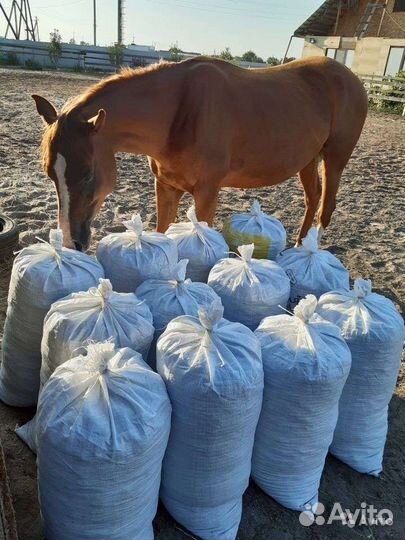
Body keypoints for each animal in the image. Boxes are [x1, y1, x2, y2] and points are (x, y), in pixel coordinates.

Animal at [32, 54, 366, 249]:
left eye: (87, 174)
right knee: (312, 199)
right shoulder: (167, 186)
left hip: (335, 159)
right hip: (308, 160)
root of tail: (352, 78)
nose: (71, 241)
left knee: (326, 206)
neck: (181, 111)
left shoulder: (207, 192)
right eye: (50, 174)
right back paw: (298, 245)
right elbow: (162, 229)